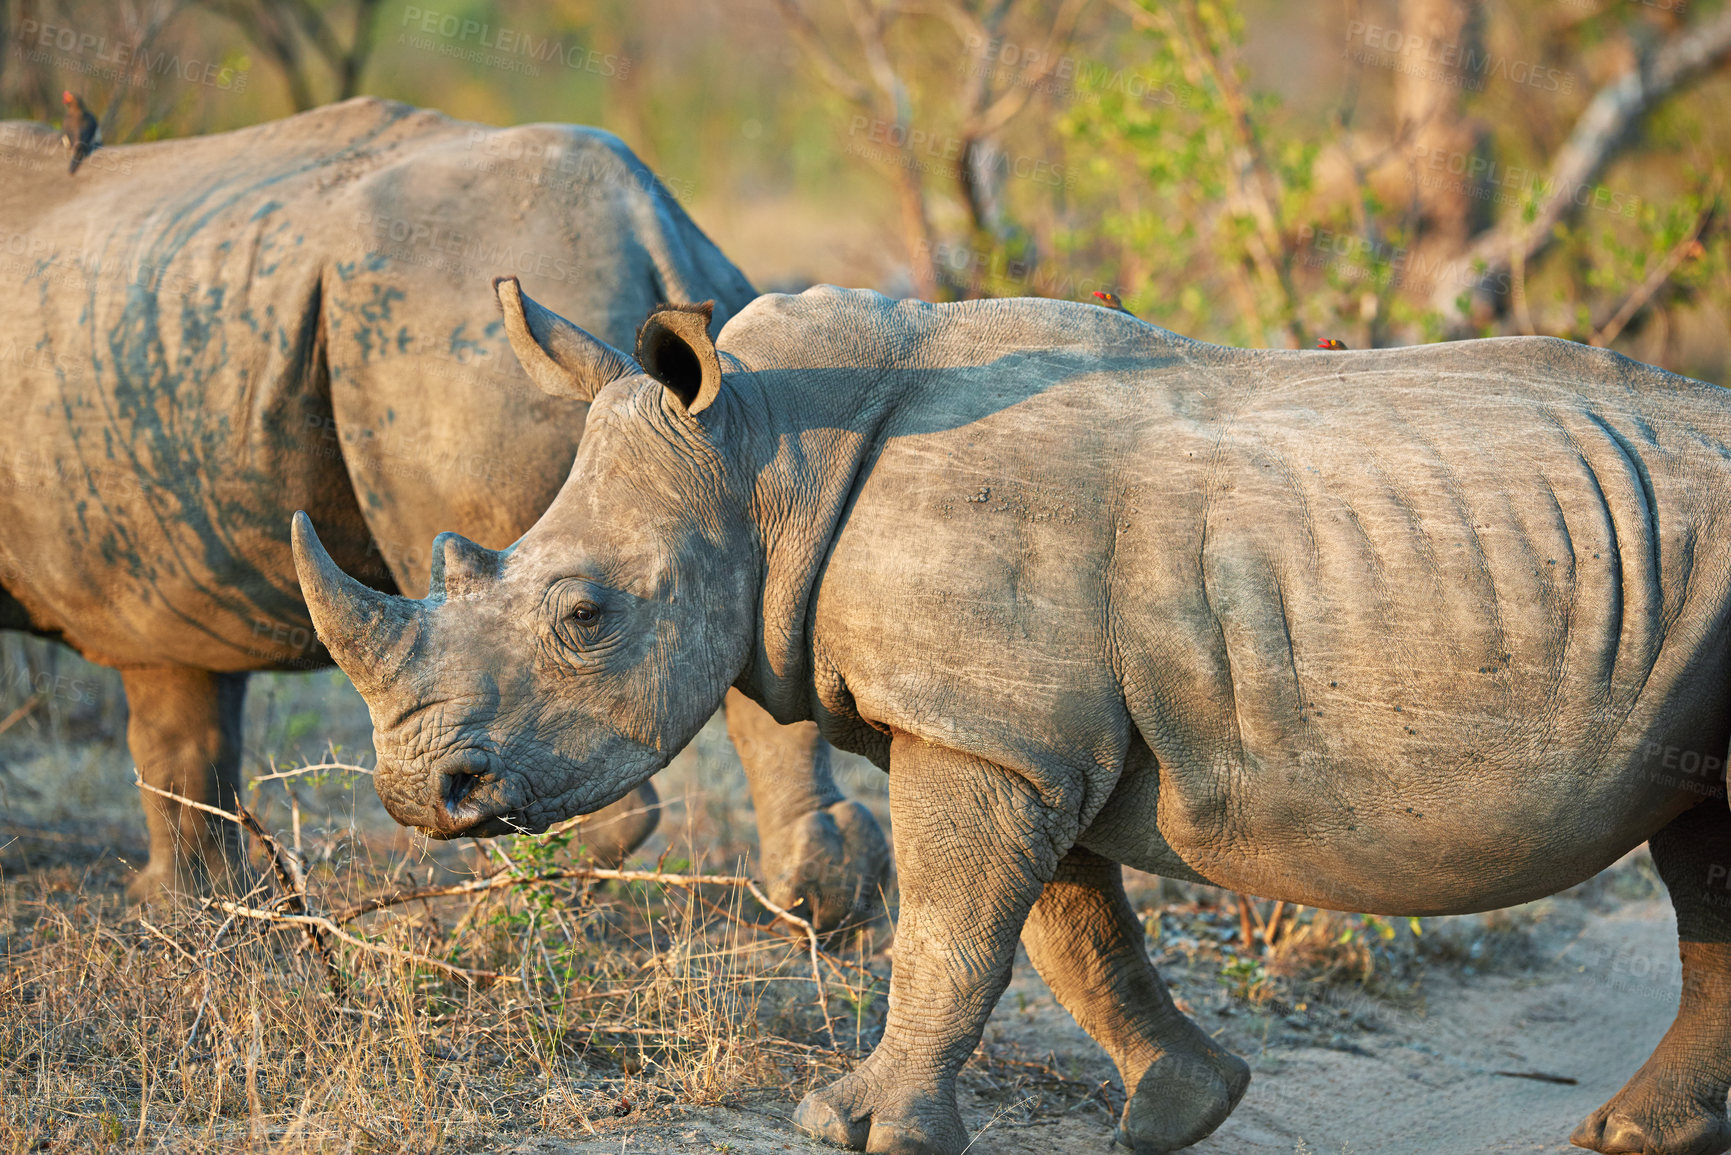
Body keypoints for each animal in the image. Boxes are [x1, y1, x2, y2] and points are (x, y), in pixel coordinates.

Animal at [0, 94, 886, 928]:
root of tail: (647, 218)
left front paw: (180, 909)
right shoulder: (160, 577)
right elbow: (183, 729)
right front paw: (187, 907)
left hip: (443, 337)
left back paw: (498, 921)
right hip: (717, 354)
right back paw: (816, 907)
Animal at [297, 280, 1731, 1155]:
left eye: (585, 614)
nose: (421, 791)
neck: (764, 451)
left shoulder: (984, 728)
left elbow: (950, 934)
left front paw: (852, 1124)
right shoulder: (1019, 727)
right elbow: (1069, 933)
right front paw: (1183, 1108)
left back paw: (1619, 1134)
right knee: (1706, 862)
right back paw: (1634, 1135)